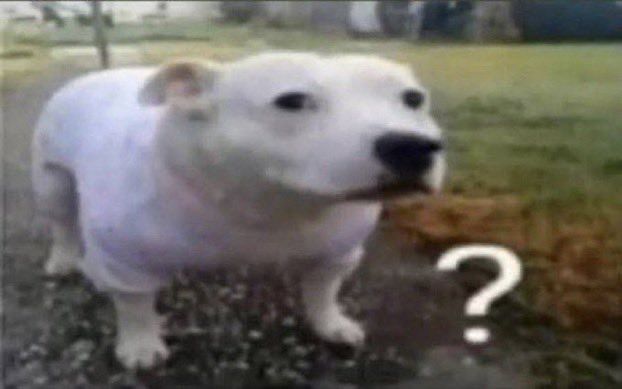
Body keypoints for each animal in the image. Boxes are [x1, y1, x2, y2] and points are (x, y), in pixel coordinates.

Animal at [33, 51, 444, 366]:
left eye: (413, 99)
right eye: (292, 101)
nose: (411, 145)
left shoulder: (337, 252)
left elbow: (323, 290)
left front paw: (330, 323)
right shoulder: (124, 261)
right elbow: (134, 307)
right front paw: (140, 344)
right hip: (52, 181)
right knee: (62, 222)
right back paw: (63, 259)